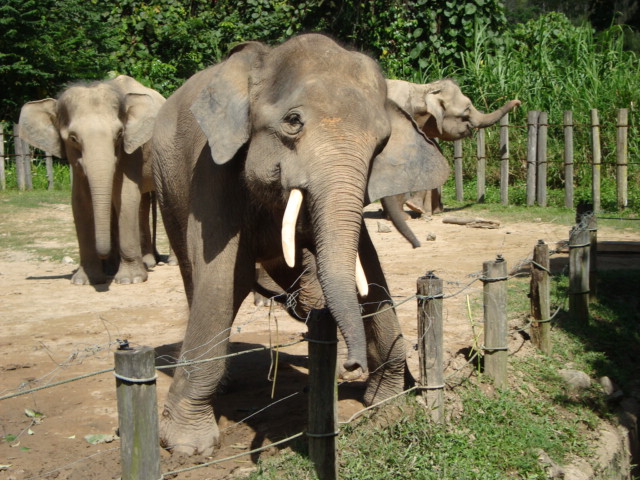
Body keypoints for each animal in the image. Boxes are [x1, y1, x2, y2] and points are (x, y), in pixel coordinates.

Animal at [21, 75, 168, 284]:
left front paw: (129, 280)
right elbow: (80, 202)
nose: (104, 255)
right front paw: (86, 280)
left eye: (119, 134)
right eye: (73, 138)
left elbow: (126, 196)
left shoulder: (132, 152)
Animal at [151, 33, 450, 454]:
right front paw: (188, 446)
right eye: (293, 122)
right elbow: (223, 278)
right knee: (192, 272)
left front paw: (387, 401)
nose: (351, 365)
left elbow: (368, 266)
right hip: (164, 180)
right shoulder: (211, 169)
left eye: (381, 143)